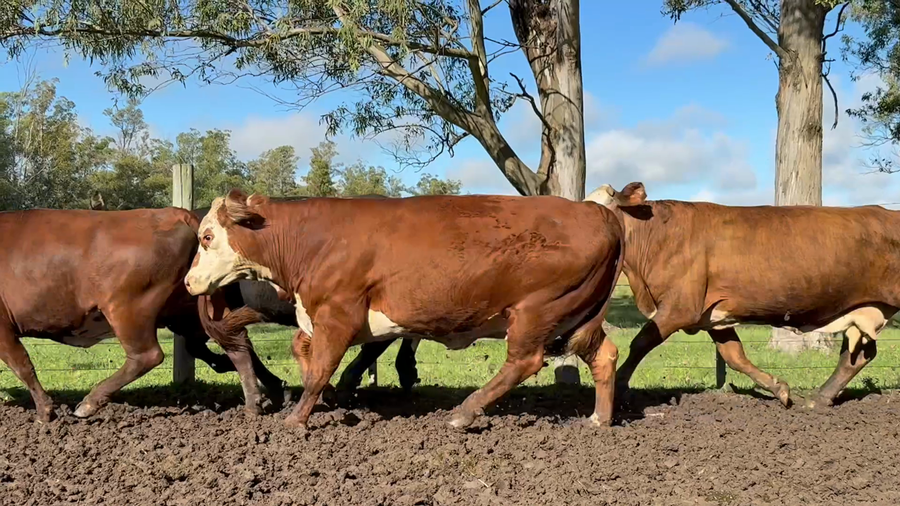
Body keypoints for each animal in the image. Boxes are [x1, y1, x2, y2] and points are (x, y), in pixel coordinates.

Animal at [0, 206, 287, 422]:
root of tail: (177, 214)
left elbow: (22, 365)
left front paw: (45, 411)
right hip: (197, 308)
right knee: (235, 342)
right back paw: (259, 398)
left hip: (127, 310)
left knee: (147, 356)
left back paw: (89, 403)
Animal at [185, 189, 625, 431]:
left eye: (206, 237)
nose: (189, 282)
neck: (314, 239)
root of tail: (594, 211)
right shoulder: (319, 318)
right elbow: (310, 358)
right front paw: (324, 399)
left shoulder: (337, 315)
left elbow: (321, 368)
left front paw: (296, 419)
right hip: (576, 316)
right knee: (604, 355)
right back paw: (599, 418)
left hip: (535, 312)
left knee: (524, 361)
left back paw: (464, 412)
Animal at [587, 182, 900, 409]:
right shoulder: (713, 316)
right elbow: (734, 356)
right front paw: (779, 389)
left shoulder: (680, 308)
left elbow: (640, 343)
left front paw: (620, 386)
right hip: (867, 307)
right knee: (857, 356)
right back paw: (819, 398)